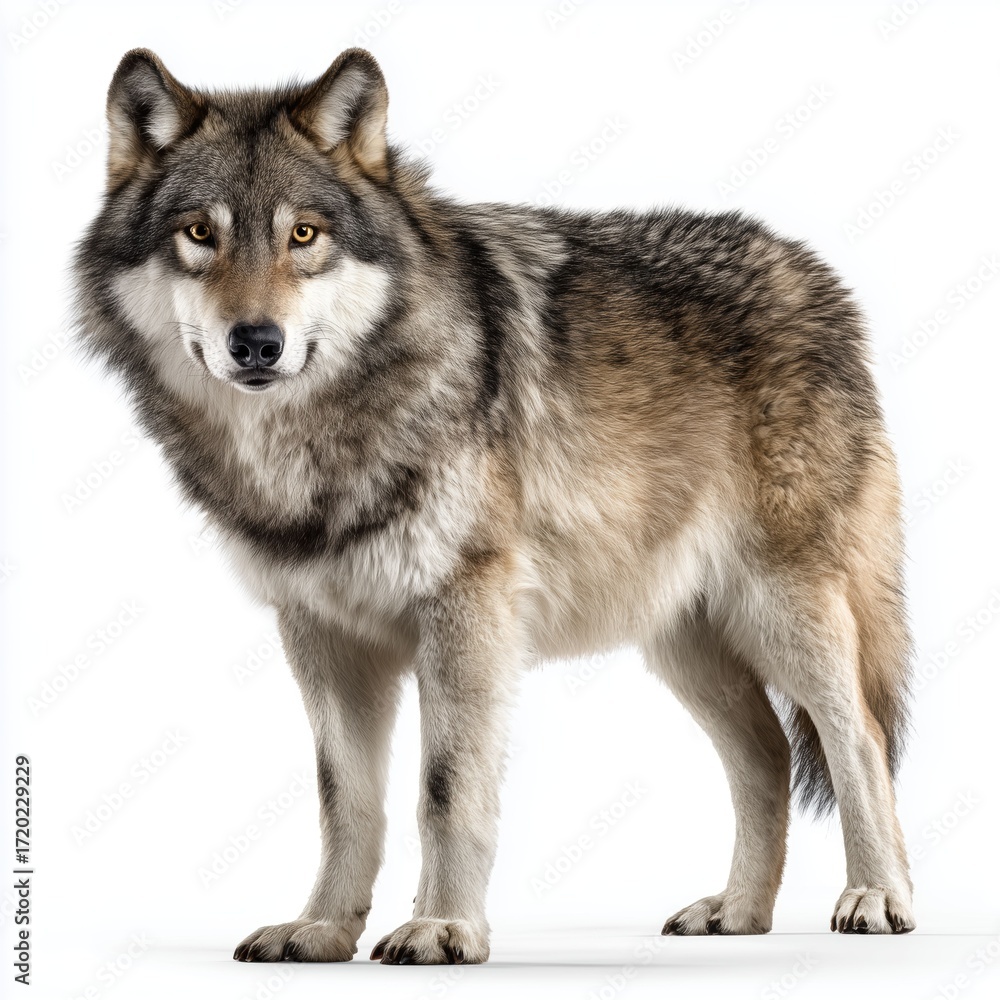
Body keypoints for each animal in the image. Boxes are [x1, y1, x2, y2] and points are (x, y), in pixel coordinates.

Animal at [73, 47, 916, 964]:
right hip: (684, 640)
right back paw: (736, 913)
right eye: (200, 234)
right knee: (766, 758)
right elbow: (344, 800)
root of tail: (814, 272)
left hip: (783, 609)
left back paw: (876, 897)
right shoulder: (322, 633)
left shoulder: (465, 612)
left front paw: (443, 927)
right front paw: (324, 928)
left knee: (858, 740)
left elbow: (445, 790)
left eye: (304, 235)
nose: (257, 343)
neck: (320, 441)